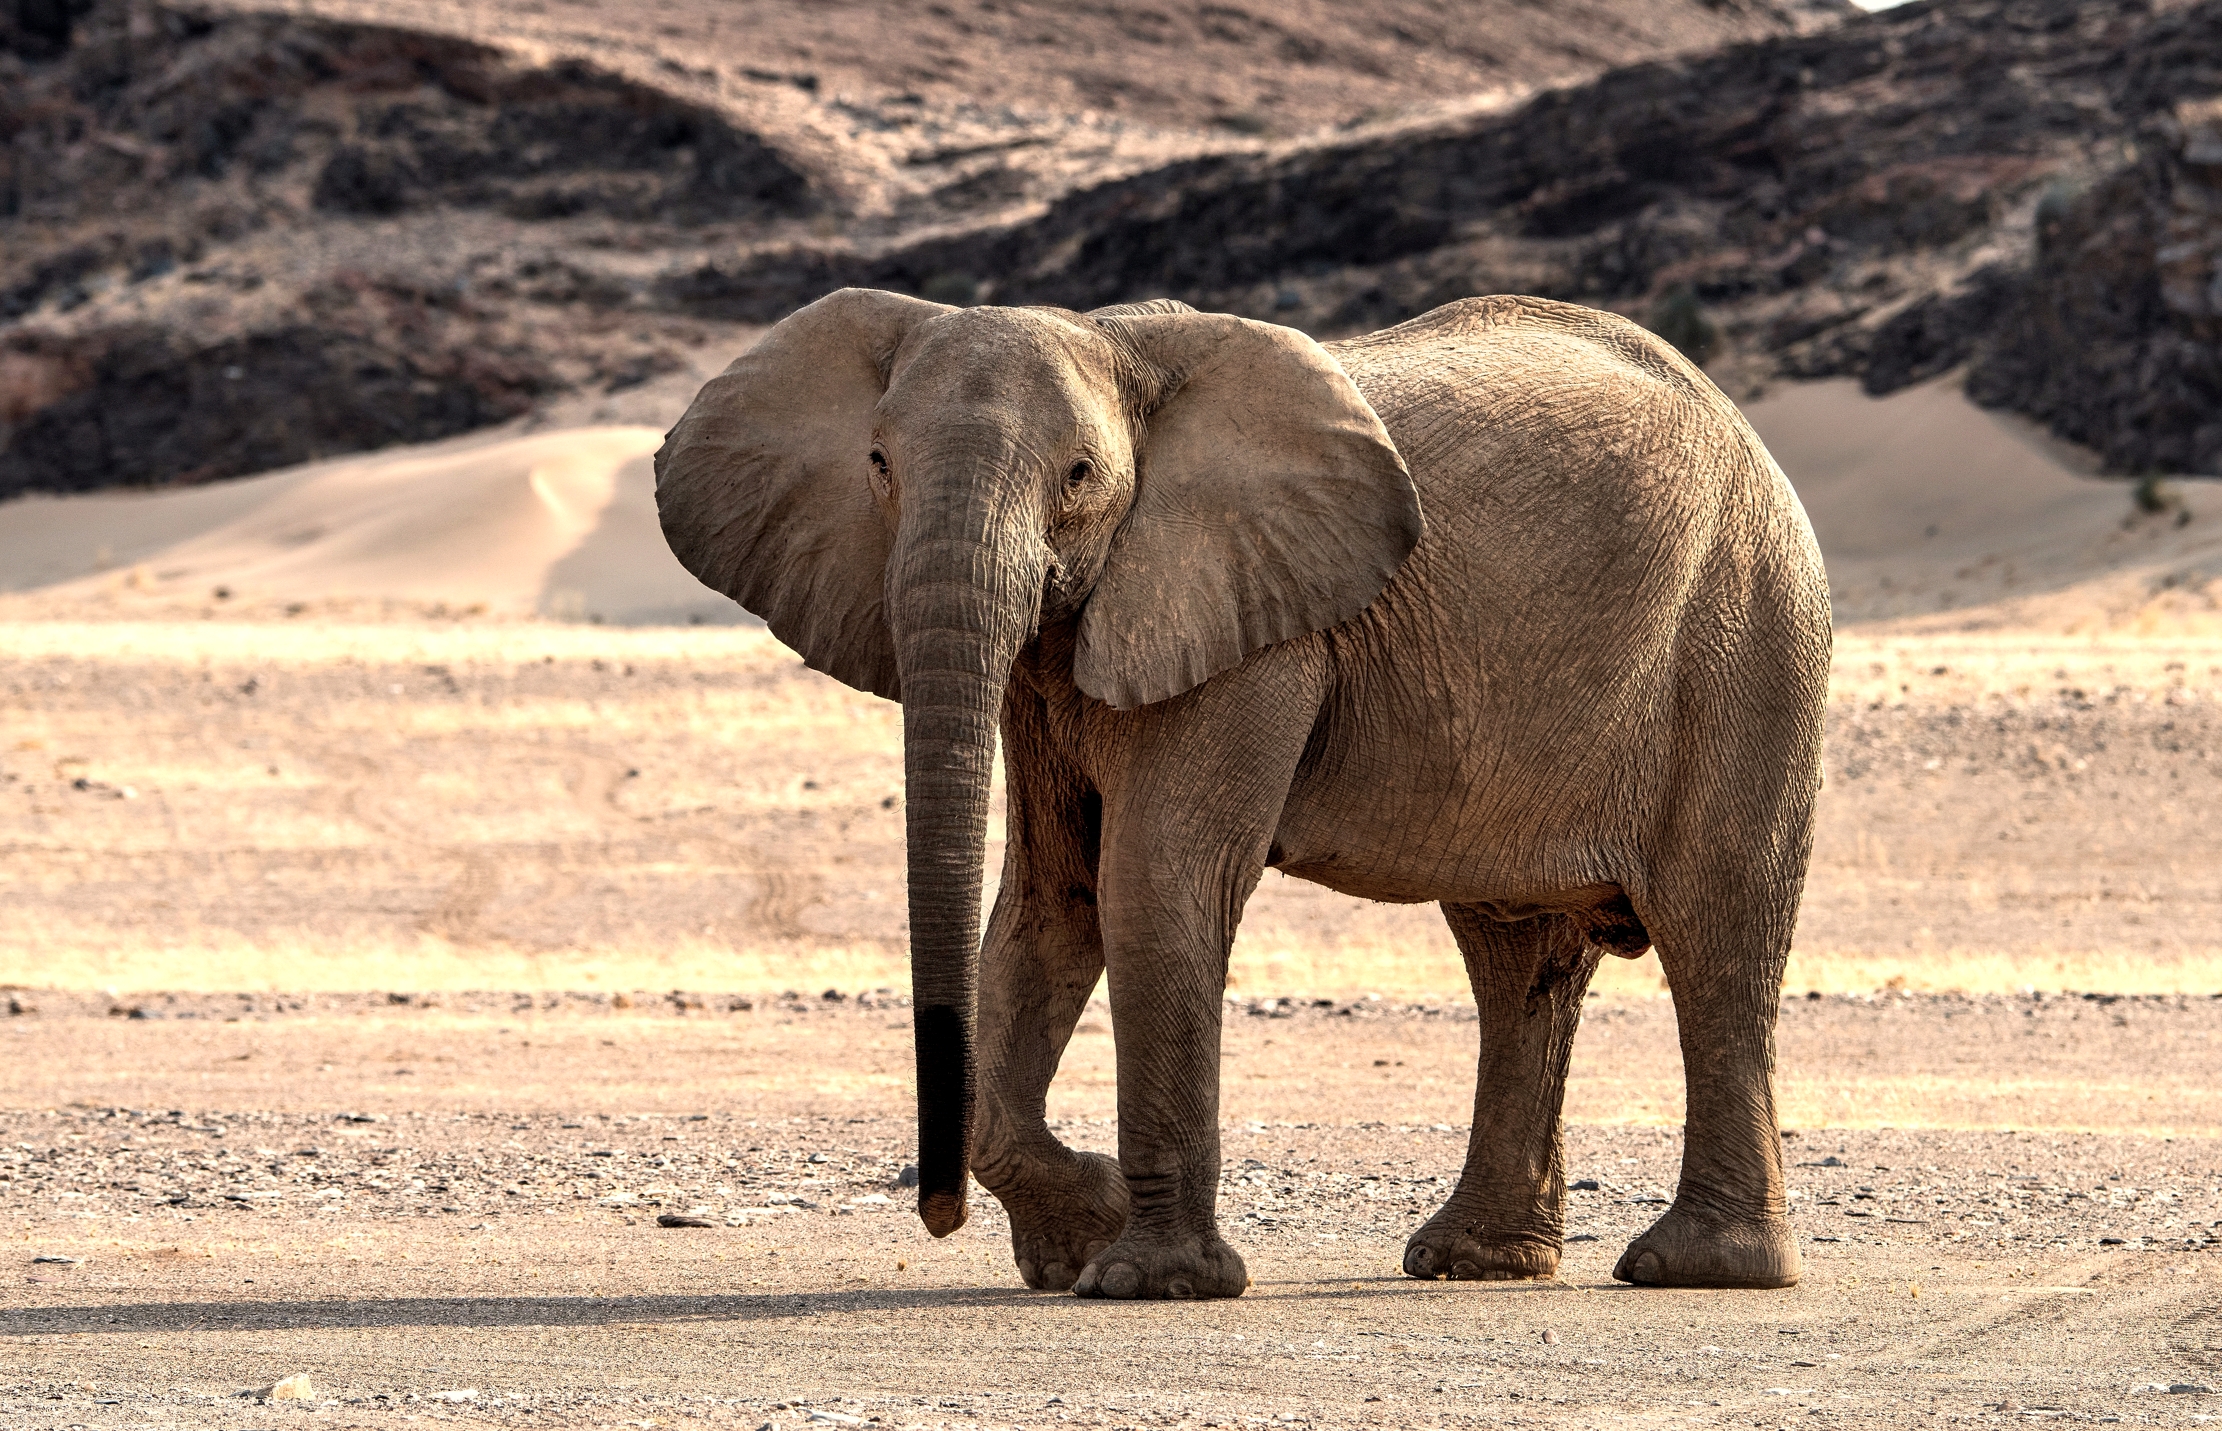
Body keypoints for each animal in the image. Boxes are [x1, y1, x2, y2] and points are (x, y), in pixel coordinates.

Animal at [655, 287, 1829, 1299]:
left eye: (1080, 475)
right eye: (876, 464)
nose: (934, 1217)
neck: (1120, 346)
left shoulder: (1250, 628)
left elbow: (1151, 880)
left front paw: (1141, 1281)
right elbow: (1049, 903)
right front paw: (1075, 1242)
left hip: (1748, 637)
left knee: (1716, 932)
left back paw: (1698, 1269)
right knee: (1517, 957)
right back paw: (1471, 1261)